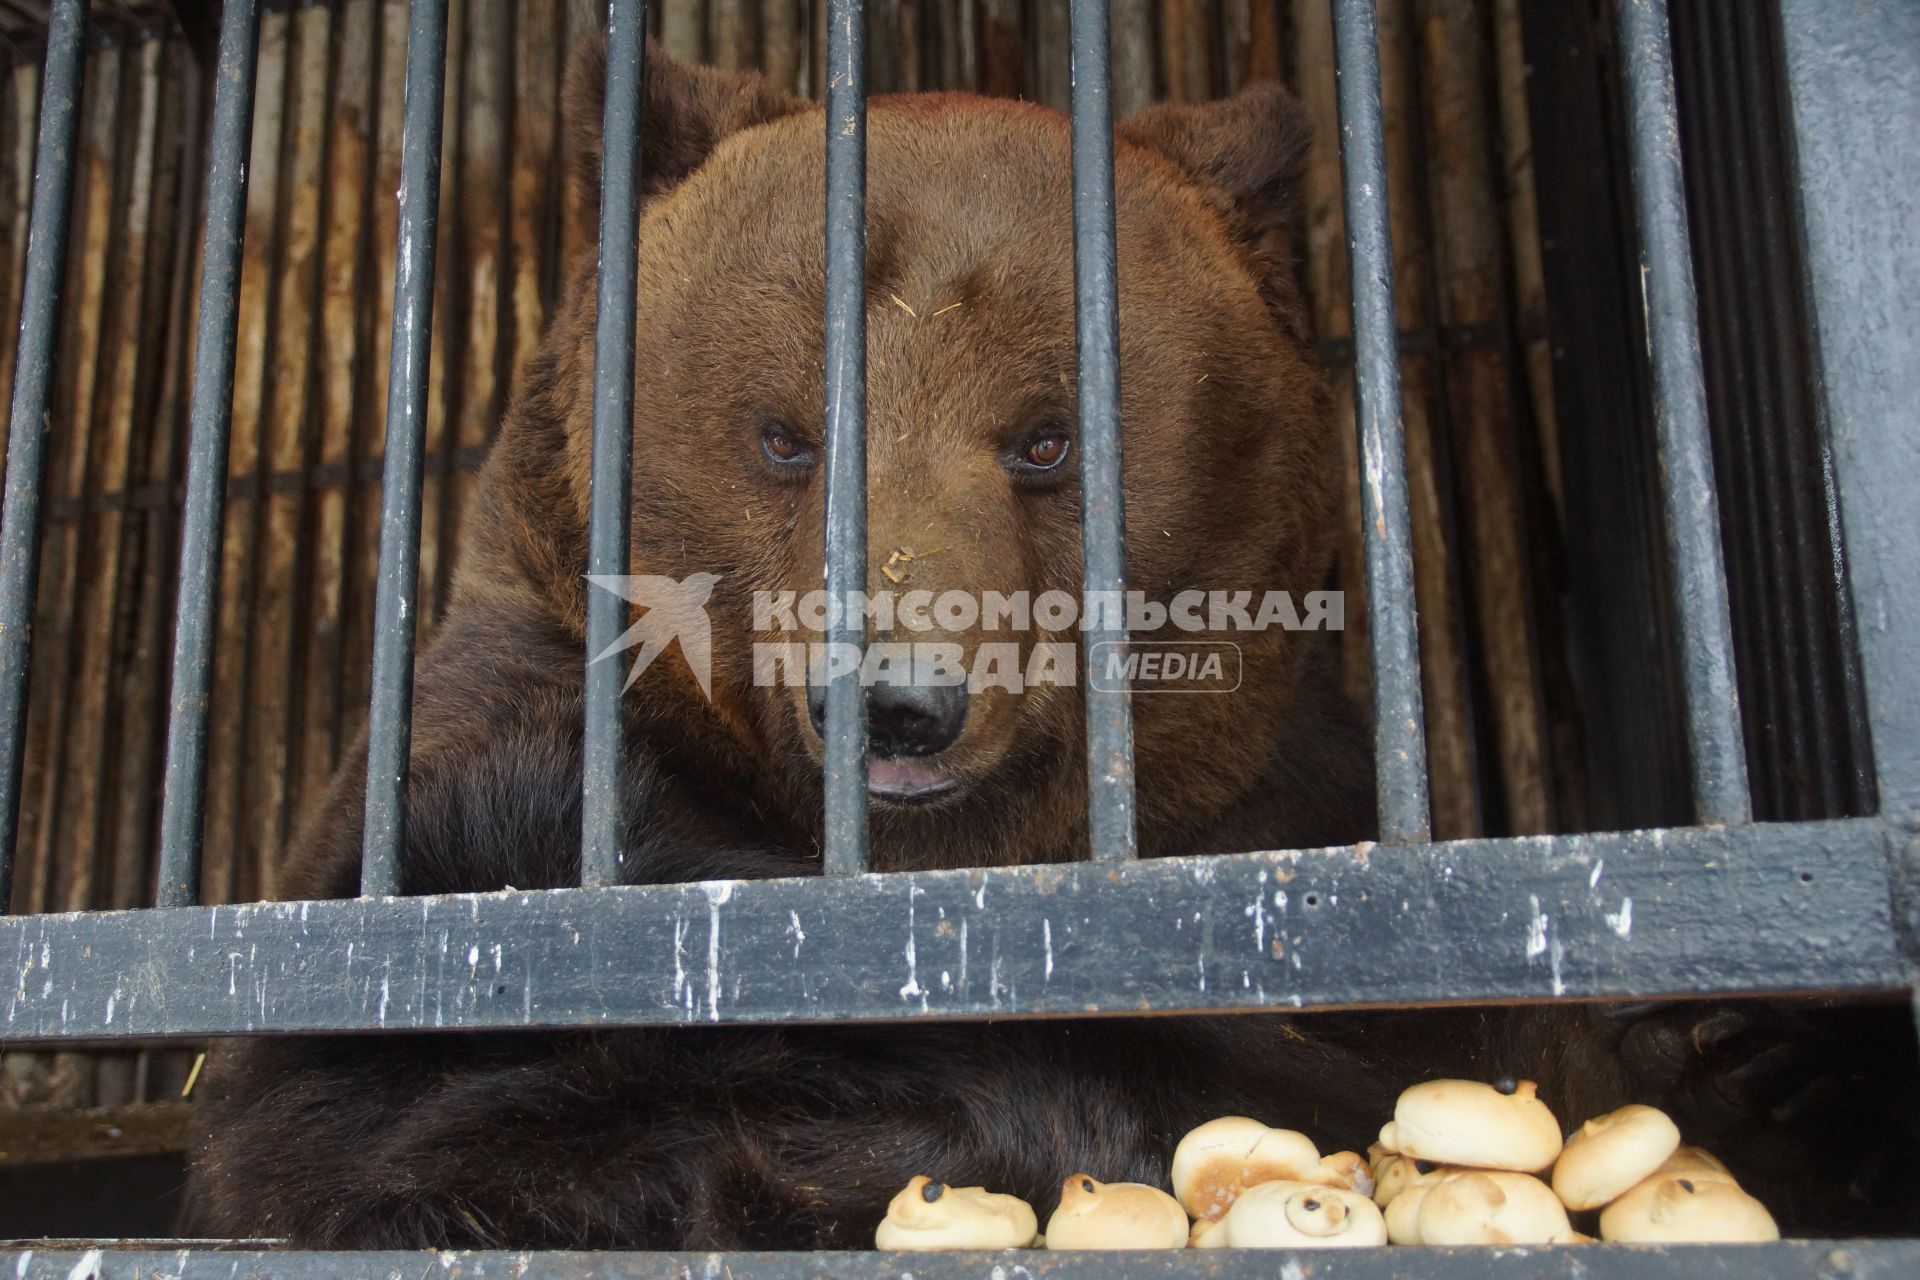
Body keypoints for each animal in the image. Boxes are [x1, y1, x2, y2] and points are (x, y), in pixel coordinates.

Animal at [180, 42, 1873, 1251]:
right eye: (787, 435)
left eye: (1047, 437)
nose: (899, 703)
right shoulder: (497, 791)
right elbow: (420, 1091)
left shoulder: (1289, 799)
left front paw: (1741, 1047)